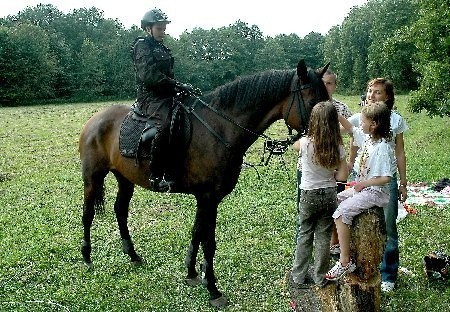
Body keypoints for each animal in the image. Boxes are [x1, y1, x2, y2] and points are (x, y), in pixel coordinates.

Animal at [79, 59, 328, 308]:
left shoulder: (205, 198)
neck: (220, 129)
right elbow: (208, 241)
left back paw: (132, 254)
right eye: (313, 101)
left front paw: (191, 273)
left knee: (120, 210)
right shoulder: (209, 197)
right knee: (88, 214)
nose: (327, 138)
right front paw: (212, 289)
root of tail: (94, 120)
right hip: (92, 177)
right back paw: (87, 257)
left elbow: (196, 232)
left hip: (125, 178)